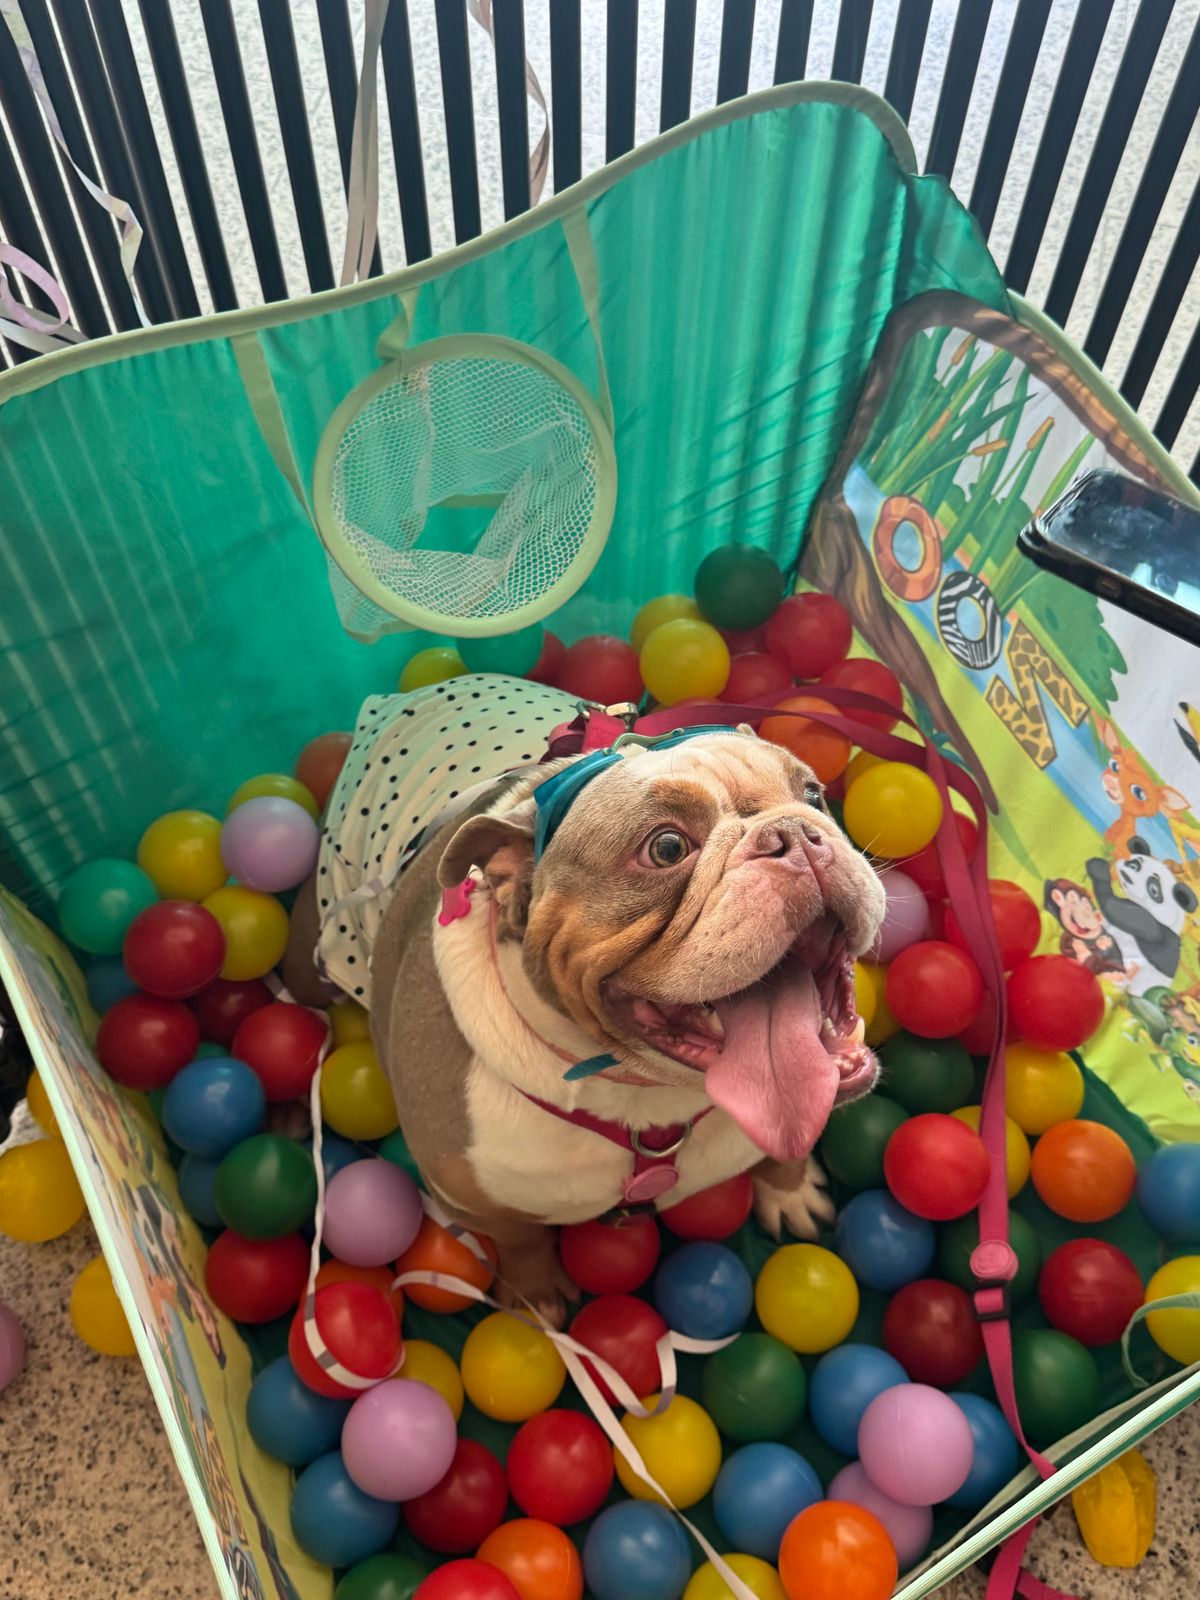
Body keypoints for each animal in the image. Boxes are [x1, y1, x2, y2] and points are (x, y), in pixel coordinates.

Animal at [286, 677, 886, 1323]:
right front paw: (538, 1297)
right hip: (313, 956)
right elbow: (521, 1242)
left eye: (814, 795)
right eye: (667, 848)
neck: (647, 1102)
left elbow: (786, 1146)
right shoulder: (474, 1199)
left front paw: (789, 1188)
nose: (797, 833)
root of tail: (394, 702)